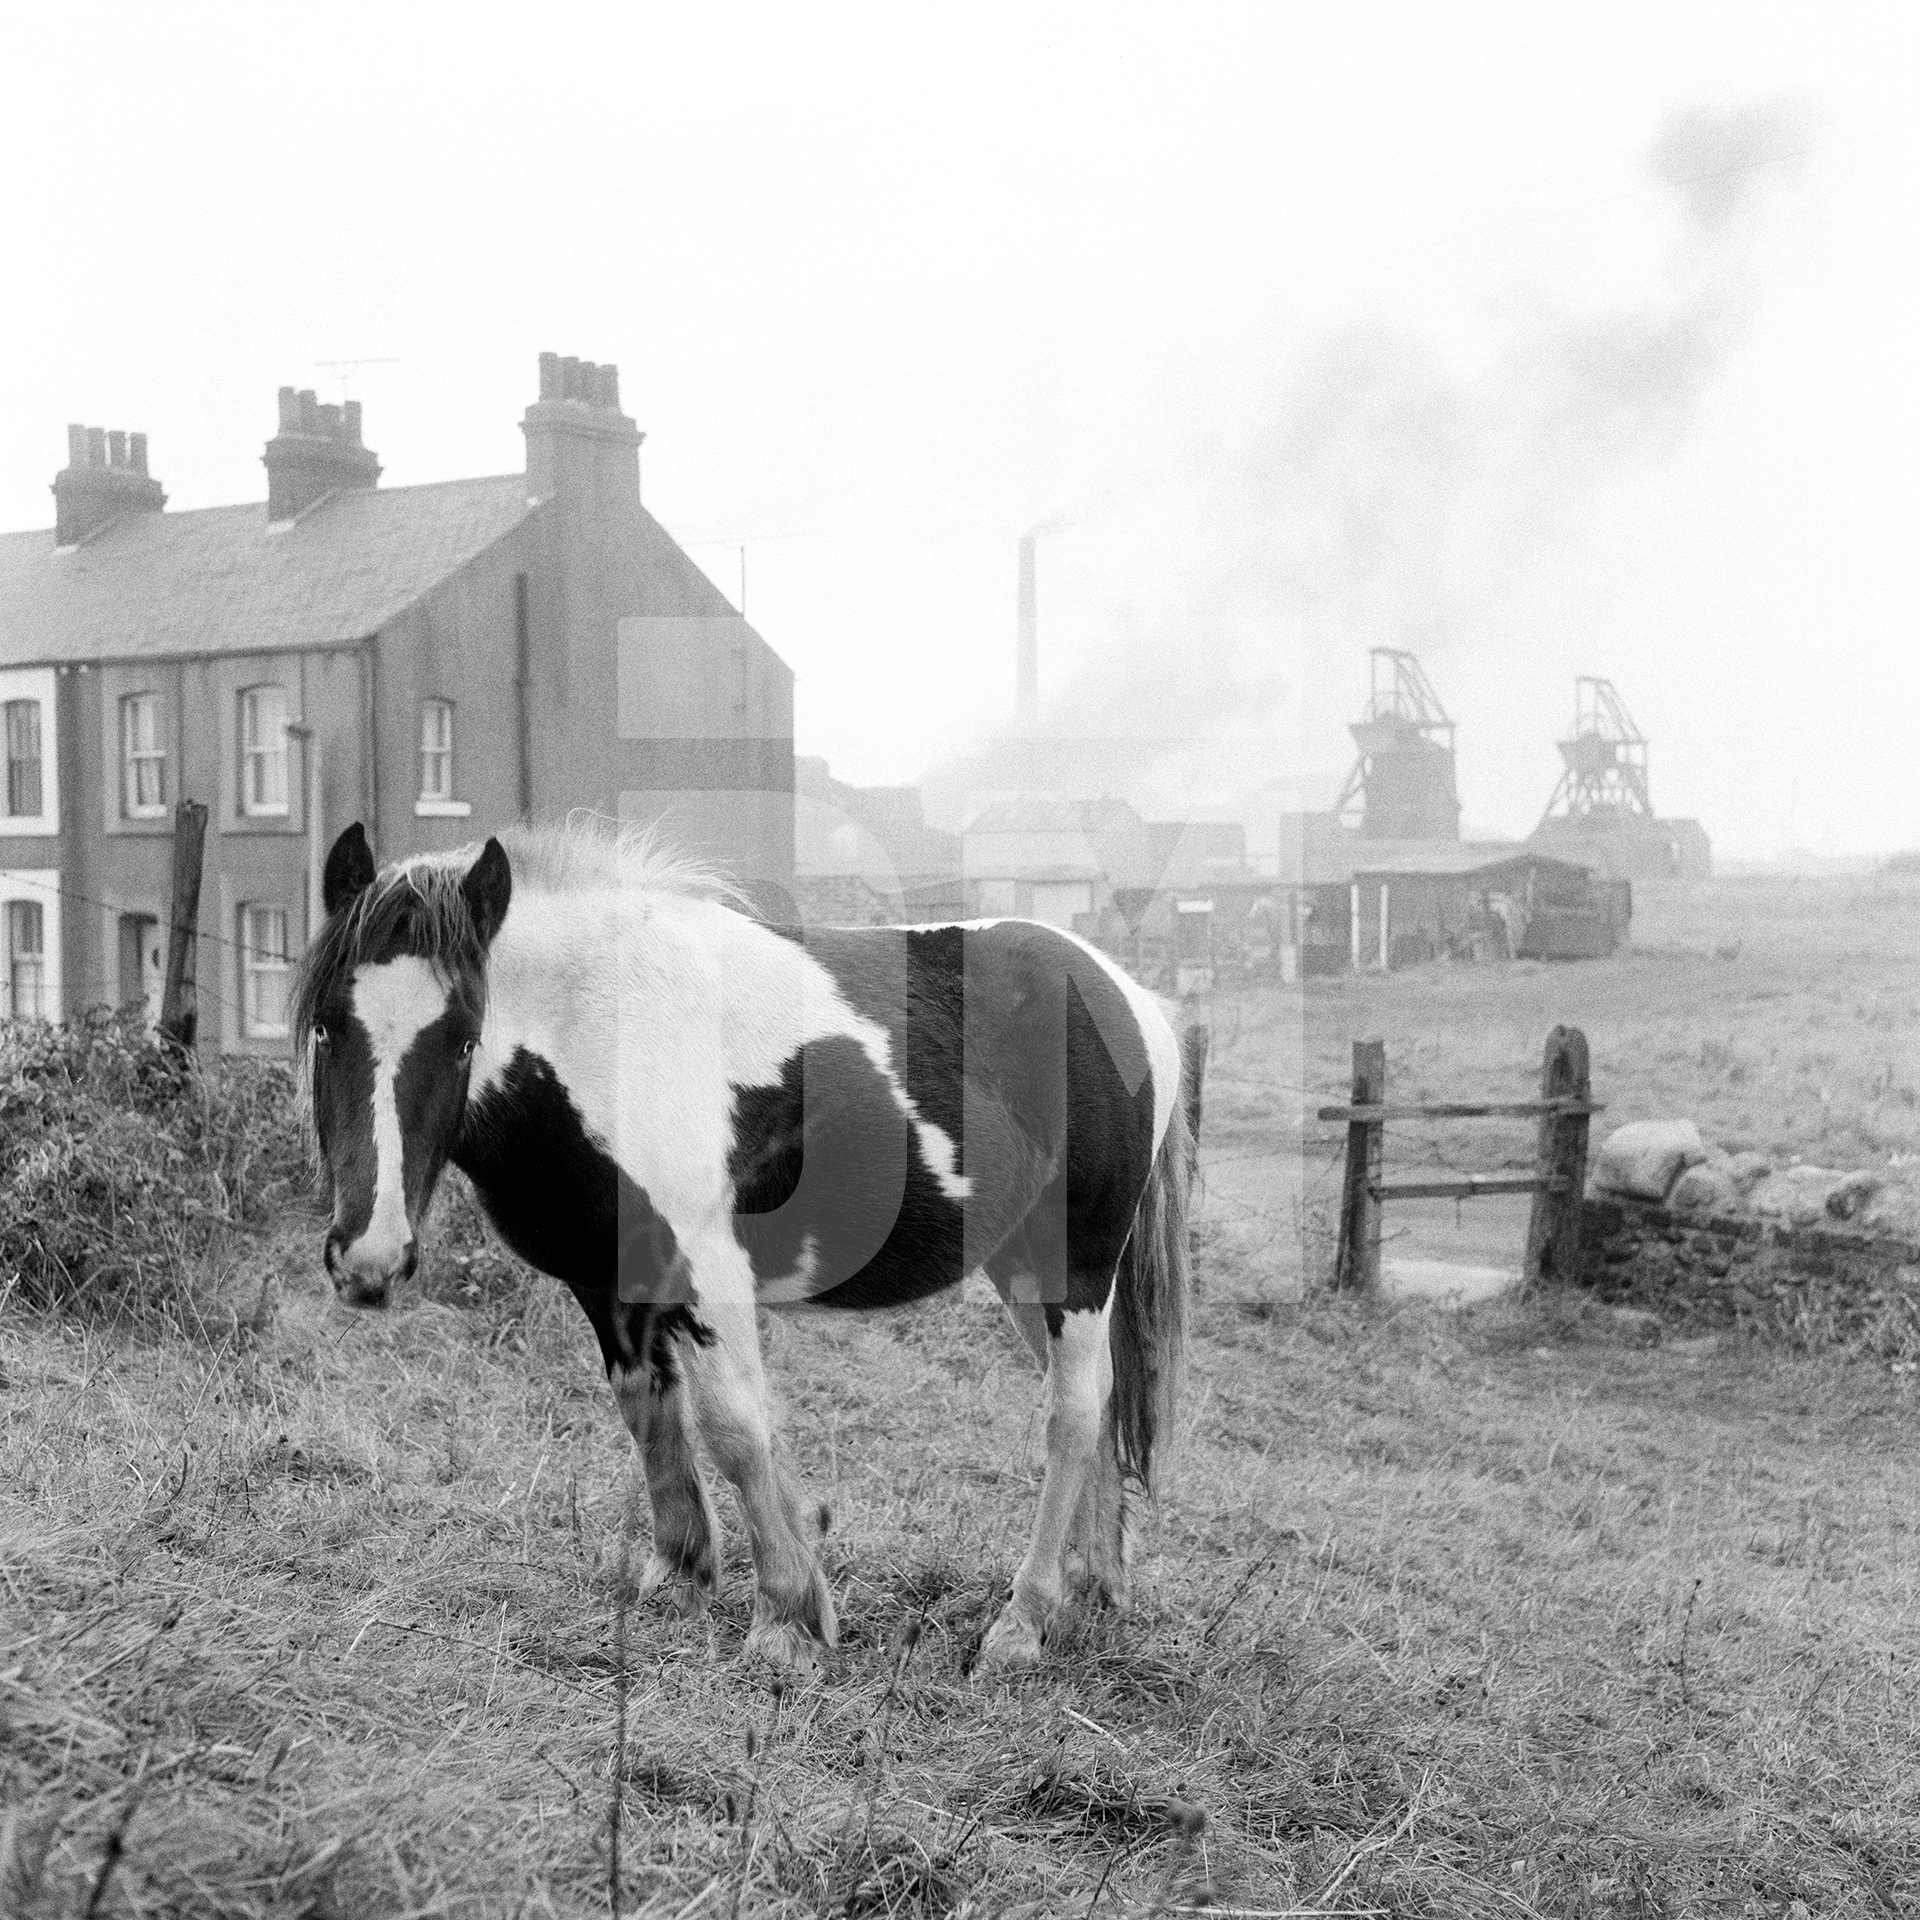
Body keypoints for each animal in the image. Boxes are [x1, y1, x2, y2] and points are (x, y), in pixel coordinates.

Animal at [291, 817, 1190, 1674]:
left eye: (462, 1037)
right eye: (328, 1028)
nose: (368, 1260)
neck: (605, 1029)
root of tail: (1131, 998)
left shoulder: (707, 1273)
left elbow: (734, 1428)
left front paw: (787, 1620)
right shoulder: (607, 1280)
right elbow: (646, 1406)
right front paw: (679, 1572)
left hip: (1079, 1263)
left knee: (1073, 1413)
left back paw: (1021, 1624)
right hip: (1023, 1268)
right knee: (1099, 1398)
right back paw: (1089, 1589)